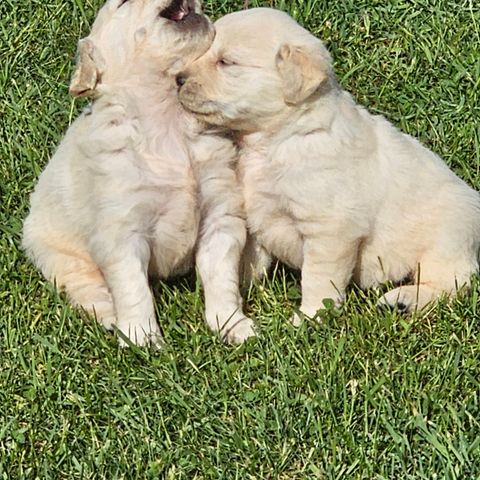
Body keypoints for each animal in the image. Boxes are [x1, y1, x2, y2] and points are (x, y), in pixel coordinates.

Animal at [22, 0, 255, 344]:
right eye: (122, 2)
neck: (169, 121)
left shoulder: (220, 215)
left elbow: (221, 276)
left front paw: (232, 325)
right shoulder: (122, 231)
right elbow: (134, 289)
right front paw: (141, 339)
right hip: (58, 255)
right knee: (86, 288)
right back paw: (109, 316)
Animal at [178, 6, 480, 318]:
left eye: (226, 62)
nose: (178, 79)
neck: (281, 138)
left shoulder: (330, 229)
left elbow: (318, 278)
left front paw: (310, 317)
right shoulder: (257, 214)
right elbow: (249, 257)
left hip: (446, 239)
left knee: (453, 282)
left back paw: (403, 299)